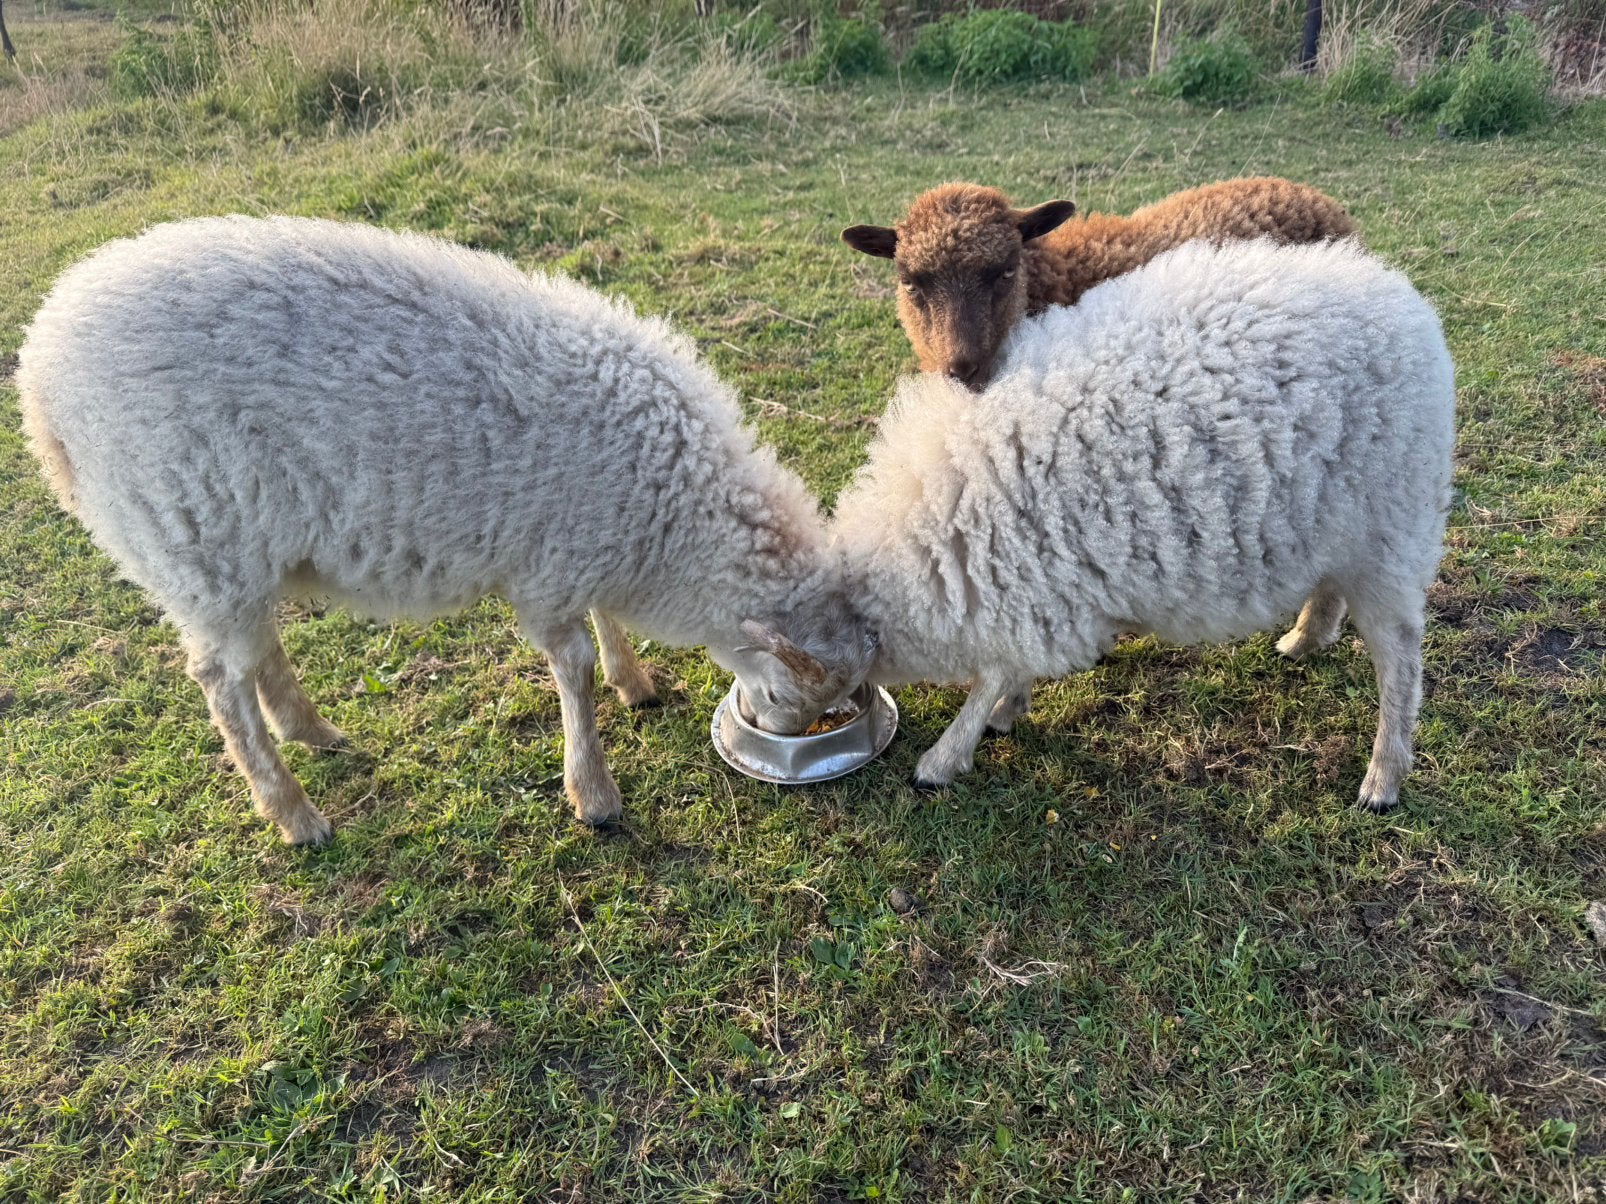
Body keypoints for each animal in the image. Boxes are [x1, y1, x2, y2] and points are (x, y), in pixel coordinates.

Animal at [18, 215, 873, 845]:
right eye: (790, 690)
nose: (785, 732)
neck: (671, 511)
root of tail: (39, 380)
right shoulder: (551, 560)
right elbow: (570, 669)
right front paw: (594, 793)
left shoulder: (585, 539)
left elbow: (602, 627)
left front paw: (632, 680)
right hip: (194, 536)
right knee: (220, 683)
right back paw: (293, 812)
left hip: (236, 555)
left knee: (254, 651)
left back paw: (310, 728)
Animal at [830, 237, 1454, 812]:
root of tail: (1404, 303)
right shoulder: (1038, 590)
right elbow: (1011, 667)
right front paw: (1007, 711)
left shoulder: (1028, 582)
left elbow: (993, 675)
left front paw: (945, 756)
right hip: (1340, 520)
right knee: (1332, 585)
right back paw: (1305, 638)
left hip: (1395, 525)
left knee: (1400, 658)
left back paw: (1383, 778)